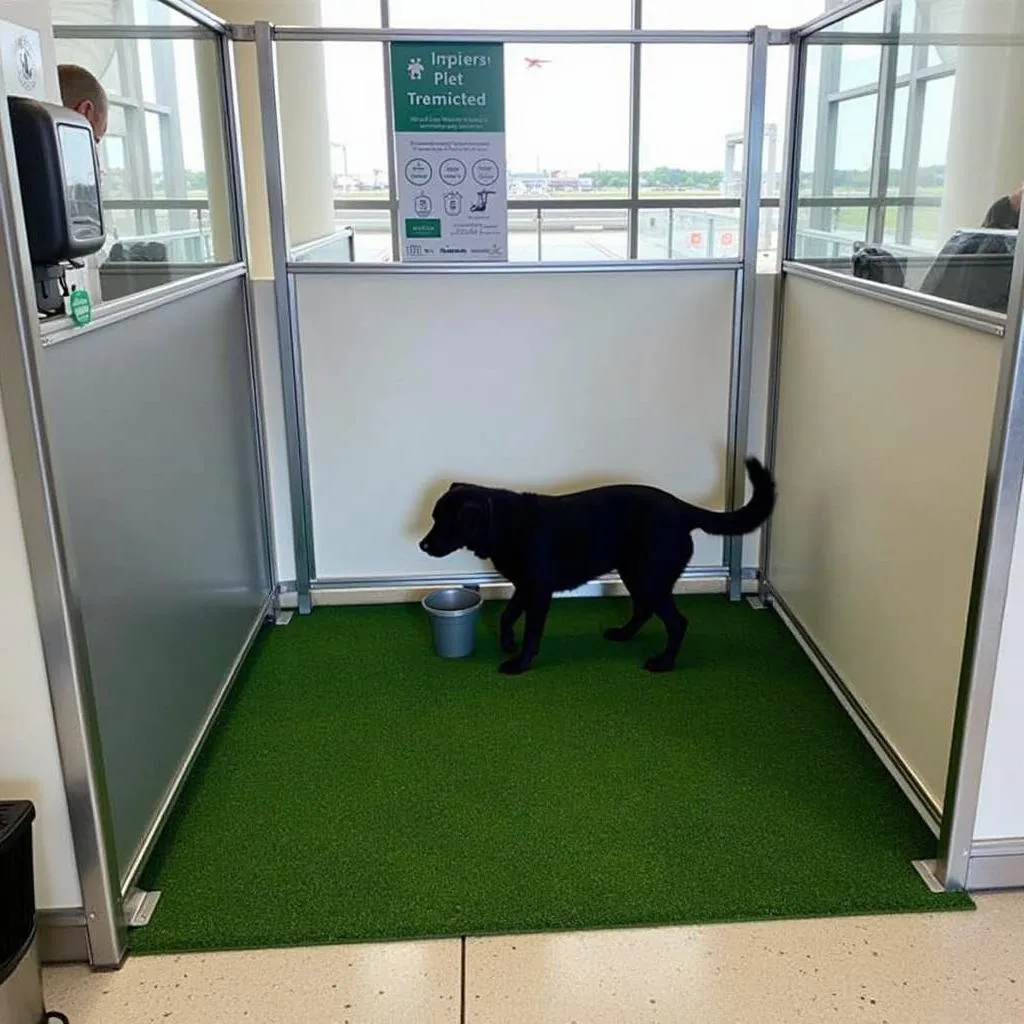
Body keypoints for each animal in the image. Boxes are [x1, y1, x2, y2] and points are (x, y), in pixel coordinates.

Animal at [419, 458, 770, 671]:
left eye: (444, 522)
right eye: (433, 517)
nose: (422, 545)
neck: (505, 525)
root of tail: (682, 509)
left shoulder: (539, 591)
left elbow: (532, 630)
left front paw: (521, 663)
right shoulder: (524, 586)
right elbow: (507, 615)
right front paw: (507, 643)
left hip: (649, 578)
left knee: (677, 622)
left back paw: (664, 662)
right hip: (635, 574)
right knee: (644, 611)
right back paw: (624, 635)